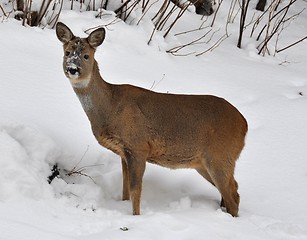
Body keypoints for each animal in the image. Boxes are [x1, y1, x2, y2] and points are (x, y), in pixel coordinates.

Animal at [56, 23, 248, 218]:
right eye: (67, 52)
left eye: (86, 55)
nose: (72, 69)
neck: (111, 107)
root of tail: (244, 125)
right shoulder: (123, 152)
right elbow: (125, 188)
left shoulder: (138, 146)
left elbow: (136, 190)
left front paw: (136, 217)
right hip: (204, 163)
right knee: (234, 189)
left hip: (220, 155)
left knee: (233, 195)